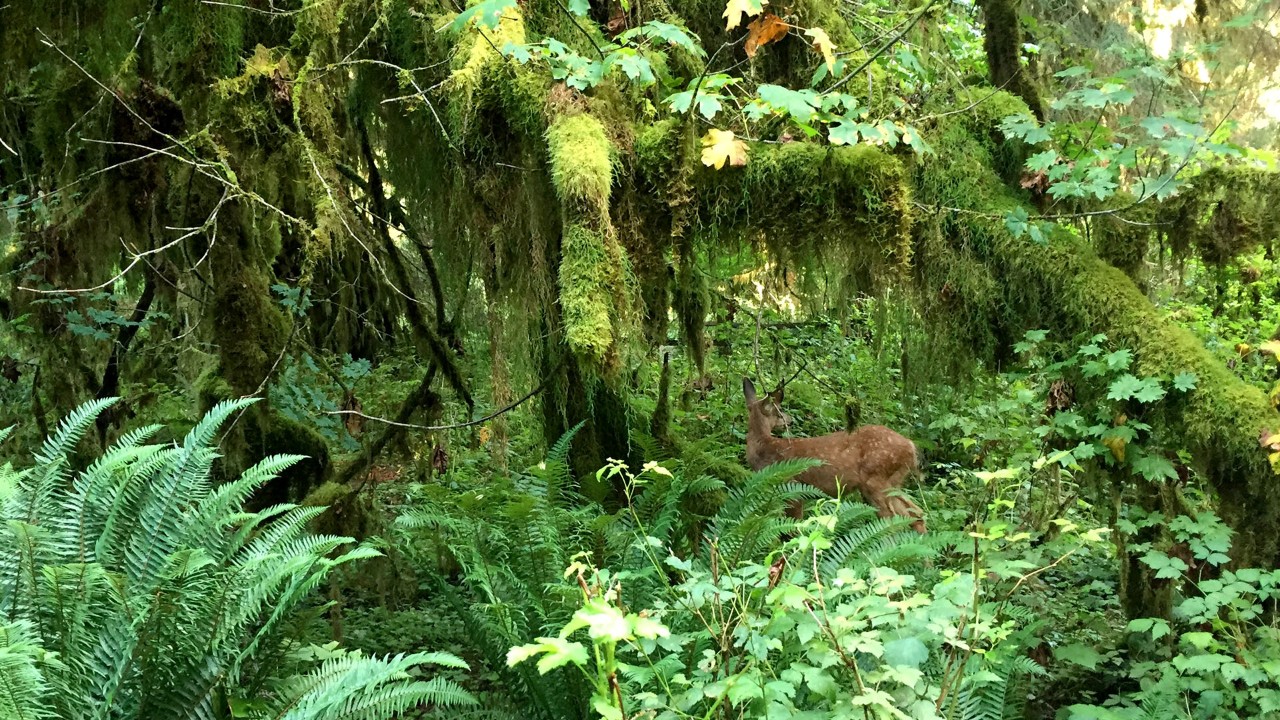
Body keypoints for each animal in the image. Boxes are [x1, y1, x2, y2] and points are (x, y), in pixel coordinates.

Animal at [742, 377, 926, 533]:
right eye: (780, 411)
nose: (790, 420)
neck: (765, 450)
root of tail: (911, 446)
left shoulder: (792, 486)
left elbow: (793, 528)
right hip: (892, 482)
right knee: (916, 513)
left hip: (876, 478)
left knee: (892, 521)